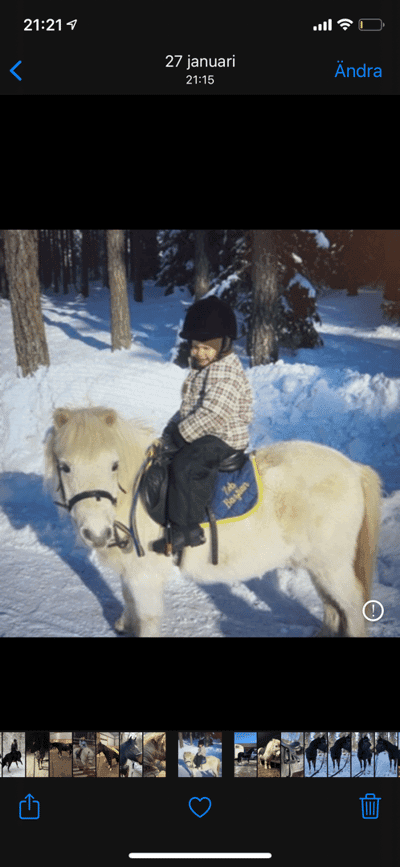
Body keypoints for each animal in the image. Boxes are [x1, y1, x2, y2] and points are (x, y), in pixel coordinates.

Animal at [44, 406, 382, 636]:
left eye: (113, 465)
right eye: (65, 467)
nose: (97, 533)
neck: (135, 497)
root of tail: (354, 468)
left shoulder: (146, 576)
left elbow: (148, 618)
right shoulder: (130, 572)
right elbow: (127, 600)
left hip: (332, 566)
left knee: (352, 606)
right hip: (317, 565)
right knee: (331, 607)